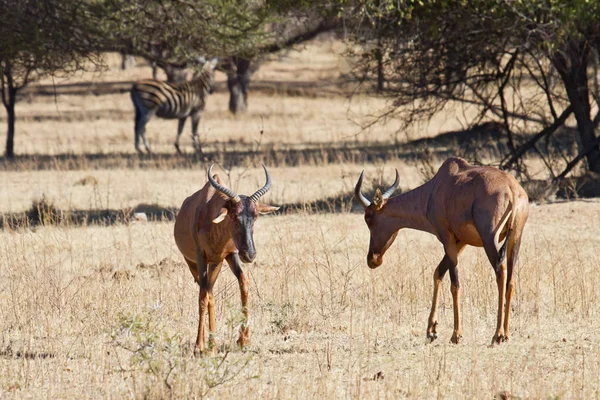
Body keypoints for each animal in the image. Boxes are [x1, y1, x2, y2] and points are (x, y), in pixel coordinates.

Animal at [172, 164, 278, 354]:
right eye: (233, 216)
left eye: (255, 216)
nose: (250, 254)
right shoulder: (201, 257)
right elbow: (202, 297)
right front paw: (198, 346)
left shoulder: (229, 255)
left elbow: (244, 284)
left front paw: (243, 340)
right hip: (193, 263)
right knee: (205, 292)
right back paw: (205, 344)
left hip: (216, 263)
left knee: (211, 292)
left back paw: (213, 344)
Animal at [354, 156, 528, 344]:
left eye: (369, 218)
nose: (373, 259)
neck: (437, 187)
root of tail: (512, 192)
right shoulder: (461, 241)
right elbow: (438, 272)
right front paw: (432, 330)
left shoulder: (447, 238)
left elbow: (454, 283)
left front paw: (455, 334)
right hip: (515, 239)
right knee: (511, 280)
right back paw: (506, 334)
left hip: (490, 239)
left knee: (500, 272)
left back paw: (497, 335)